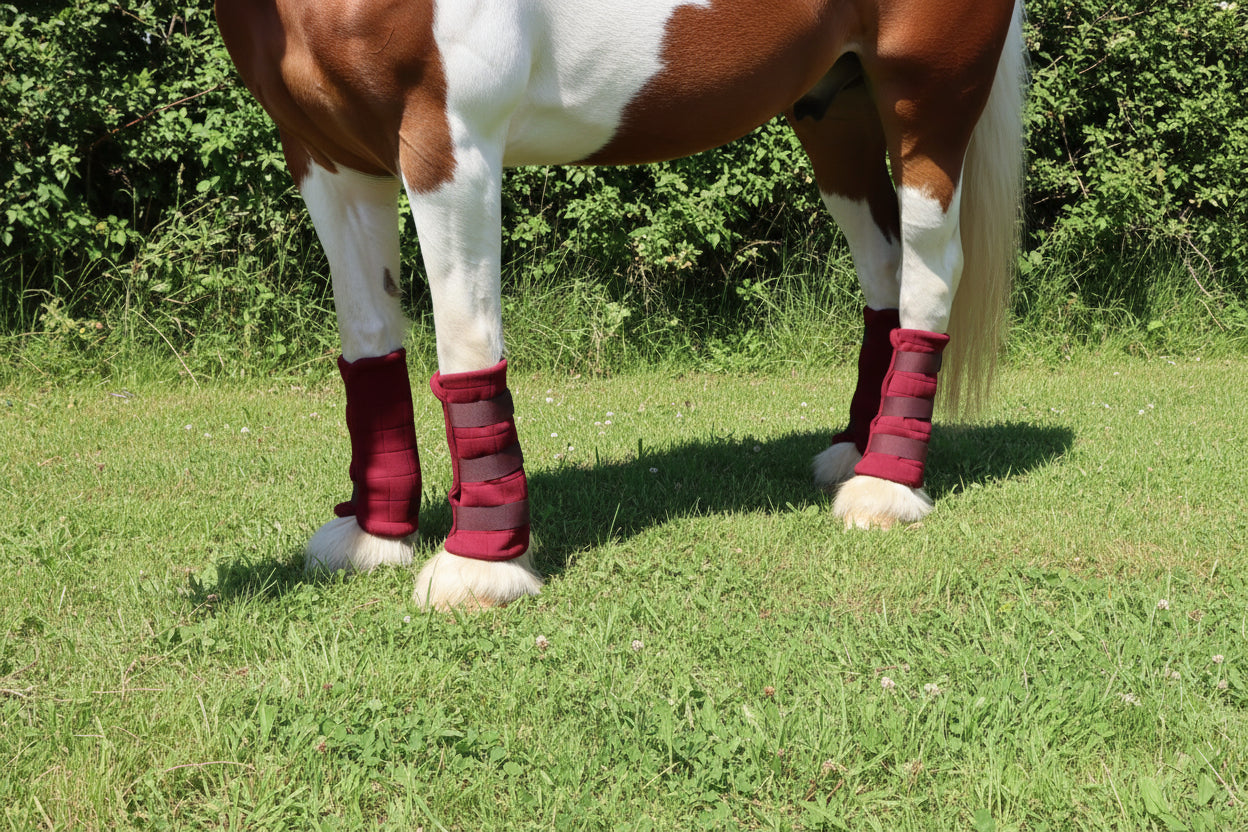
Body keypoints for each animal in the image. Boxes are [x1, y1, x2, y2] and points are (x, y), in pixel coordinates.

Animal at [214, 0, 1026, 611]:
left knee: (930, 272)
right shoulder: (326, 156)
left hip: (927, 102)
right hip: (835, 108)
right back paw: (857, 454)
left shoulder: (449, 143)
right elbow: (370, 339)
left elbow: (466, 341)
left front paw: (481, 567)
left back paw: (887, 488)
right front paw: (375, 535)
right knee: (884, 269)